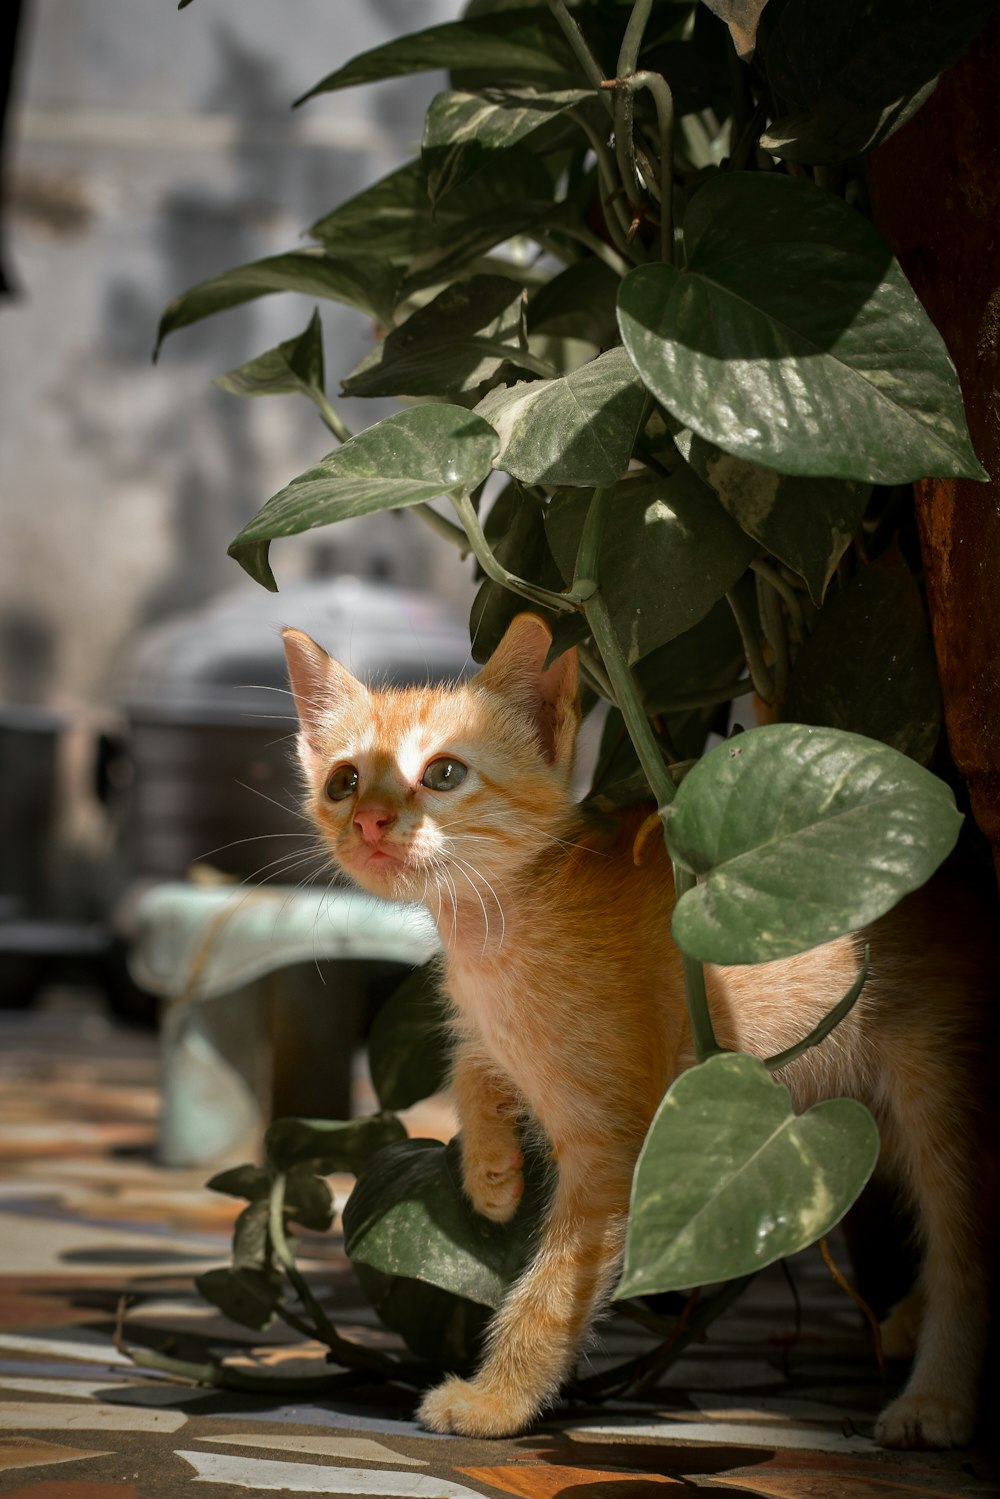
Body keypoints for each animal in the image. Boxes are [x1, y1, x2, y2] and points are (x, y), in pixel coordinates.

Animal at [284, 611, 995, 1451]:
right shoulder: (496, 1029)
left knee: (966, 1253)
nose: (368, 820)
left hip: (939, 1082)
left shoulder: (616, 1151)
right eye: (344, 781)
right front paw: (489, 1170)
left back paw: (937, 1397)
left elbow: (555, 1290)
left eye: (444, 774)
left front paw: (497, 1400)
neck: (493, 931)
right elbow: (474, 1059)